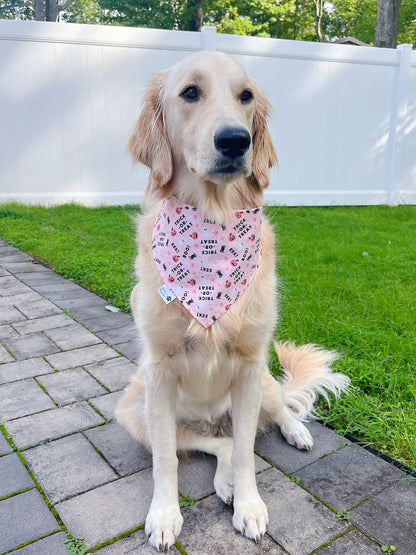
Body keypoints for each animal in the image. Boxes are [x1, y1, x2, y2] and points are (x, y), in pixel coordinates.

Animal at [118, 51, 352, 552]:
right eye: (190, 92)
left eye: (245, 96)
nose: (235, 140)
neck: (212, 224)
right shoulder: (158, 372)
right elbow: (167, 459)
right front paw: (164, 515)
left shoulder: (248, 365)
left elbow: (247, 452)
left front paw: (249, 505)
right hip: (134, 408)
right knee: (214, 443)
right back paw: (222, 479)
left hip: (262, 381)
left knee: (277, 408)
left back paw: (295, 432)